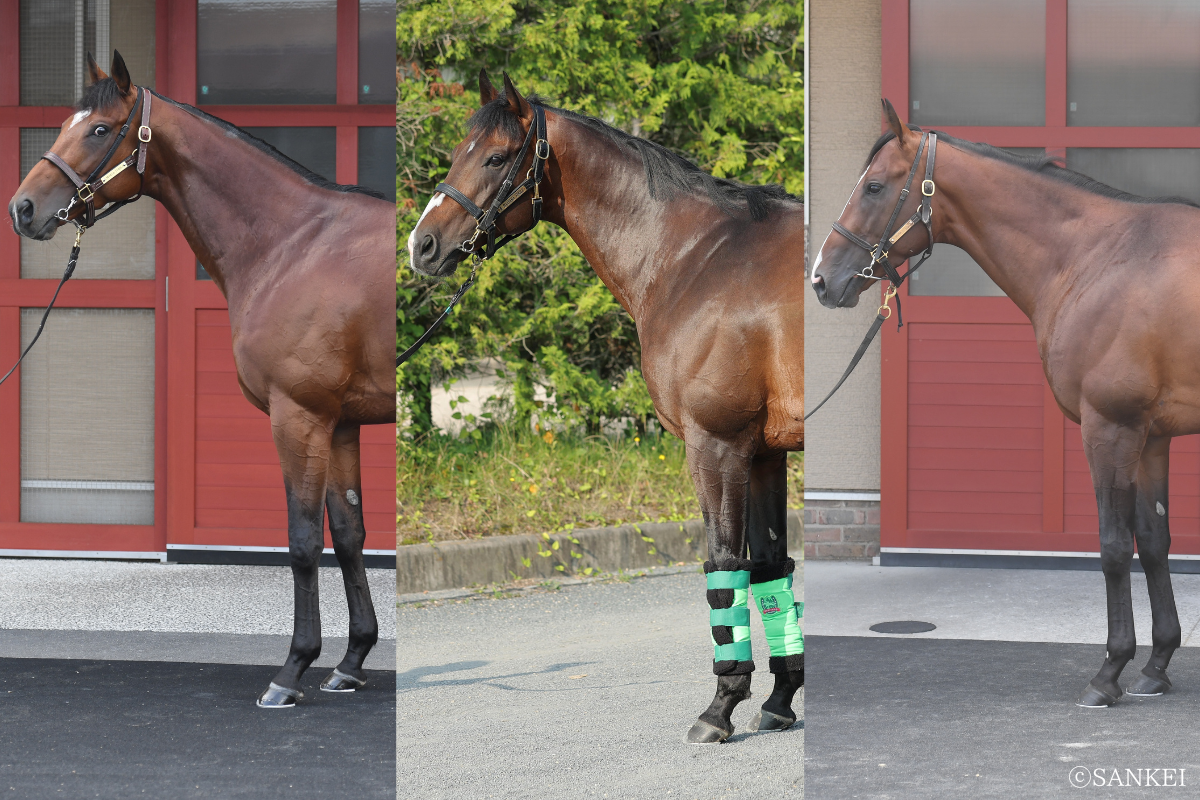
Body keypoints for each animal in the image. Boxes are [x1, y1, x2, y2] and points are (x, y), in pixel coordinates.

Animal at [7, 53, 395, 708]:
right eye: (64, 123)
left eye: (99, 130)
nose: (23, 209)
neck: (297, 245)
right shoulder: (342, 423)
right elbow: (348, 535)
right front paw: (351, 660)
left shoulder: (300, 416)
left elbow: (302, 542)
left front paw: (292, 669)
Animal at [407, 71, 805, 743]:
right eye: (461, 149)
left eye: (494, 157)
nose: (422, 246)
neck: (698, 254)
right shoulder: (764, 453)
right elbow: (772, 566)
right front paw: (779, 700)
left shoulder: (717, 446)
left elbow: (725, 568)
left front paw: (721, 707)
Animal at [813, 98, 1200, 708]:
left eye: (874, 187)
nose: (822, 280)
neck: (1101, 258)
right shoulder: (1151, 434)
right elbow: (1155, 541)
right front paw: (1157, 665)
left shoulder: (1110, 428)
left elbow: (1114, 546)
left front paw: (1109, 670)